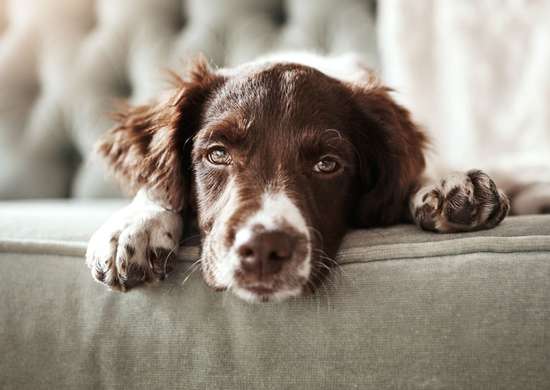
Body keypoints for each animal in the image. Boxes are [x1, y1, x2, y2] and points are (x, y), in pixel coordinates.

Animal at [86, 52, 512, 302]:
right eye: (217, 154)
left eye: (327, 164)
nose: (263, 249)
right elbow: (156, 186)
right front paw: (135, 226)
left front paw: (448, 185)